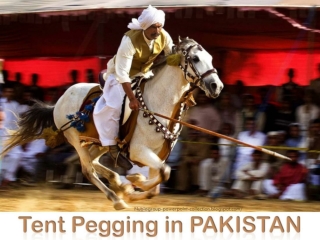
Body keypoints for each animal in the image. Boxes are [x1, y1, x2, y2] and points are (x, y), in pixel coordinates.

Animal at [2, 36, 222, 209]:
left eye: (211, 58)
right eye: (195, 58)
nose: (216, 86)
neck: (158, 102)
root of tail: (60, 99)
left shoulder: (158, 154)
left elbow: (157, 184)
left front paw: (133, 186)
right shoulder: (139, 151)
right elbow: (163, 173)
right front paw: (134, 182)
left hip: (101, 142)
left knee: (93, 161)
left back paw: (119, 184)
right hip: (76, 140)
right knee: (88, 169)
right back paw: (117, 198)